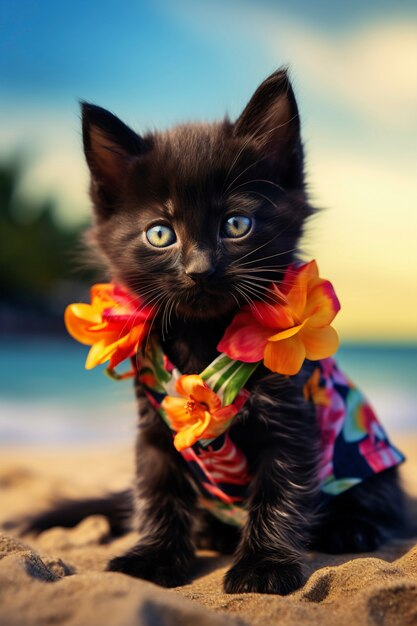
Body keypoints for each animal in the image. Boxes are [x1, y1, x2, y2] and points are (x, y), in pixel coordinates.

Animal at [25, 68, 404, 588]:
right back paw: (212, 534)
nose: (199, 270)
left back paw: (353, 528)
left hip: (370, 457)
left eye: (236, 224)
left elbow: (279, 493)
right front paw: (153, 557)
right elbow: (157, 493)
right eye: (160, 234)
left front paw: (264, 564)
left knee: (387, 503)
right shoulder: (155, 429)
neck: (201, 339)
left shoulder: (291, 423)